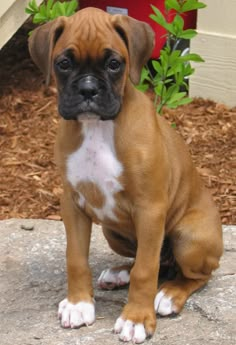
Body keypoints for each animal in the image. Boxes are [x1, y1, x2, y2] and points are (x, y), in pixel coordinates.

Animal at [28, 6, 222, 342]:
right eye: (63, 63)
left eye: (114, 64)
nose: (88, 90)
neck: (97, 127)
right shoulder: (72, 203)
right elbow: (75, 258)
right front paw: (78, 304)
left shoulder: (150, 209)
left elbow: (146, 270)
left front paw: (136, 319)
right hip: (113, 231)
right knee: (155, 261)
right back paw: (119, 274)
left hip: (189, 237)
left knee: (192, 274)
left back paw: (170, 294)